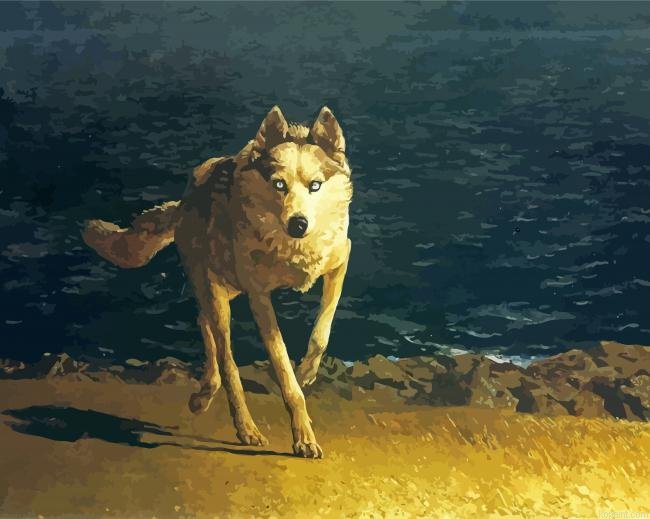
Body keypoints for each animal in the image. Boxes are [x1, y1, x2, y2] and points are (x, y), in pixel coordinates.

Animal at [82, 106, 352, 458]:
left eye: (316, 186)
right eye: (279, 184)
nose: (298, 224)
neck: (290, 248)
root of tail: (186, 198)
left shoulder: (340, 259)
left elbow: (322, 332)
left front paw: (307, 372)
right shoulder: (259, 298)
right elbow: (284, 373)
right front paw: (303, 437)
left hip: (225, 288)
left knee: (205, 325)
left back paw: (203, 396)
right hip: (218, 290)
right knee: (227, 360)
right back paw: (245, 427)